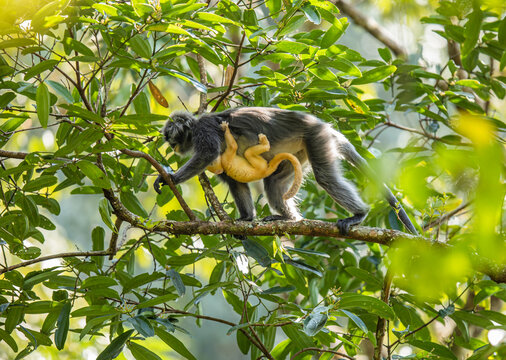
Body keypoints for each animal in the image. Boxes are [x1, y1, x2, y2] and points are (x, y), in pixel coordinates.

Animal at [155, 107, 420, 235]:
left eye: (170, 136)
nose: (171, 145)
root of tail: (325, 127)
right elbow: (234, 181)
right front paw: (245, 220)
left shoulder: (206, 130)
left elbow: (208, 154)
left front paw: (170, 178)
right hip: (300, 152)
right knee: (273, 183)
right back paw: (289, 219)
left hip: (316, 138)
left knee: (324, 176)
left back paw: (359, 215)